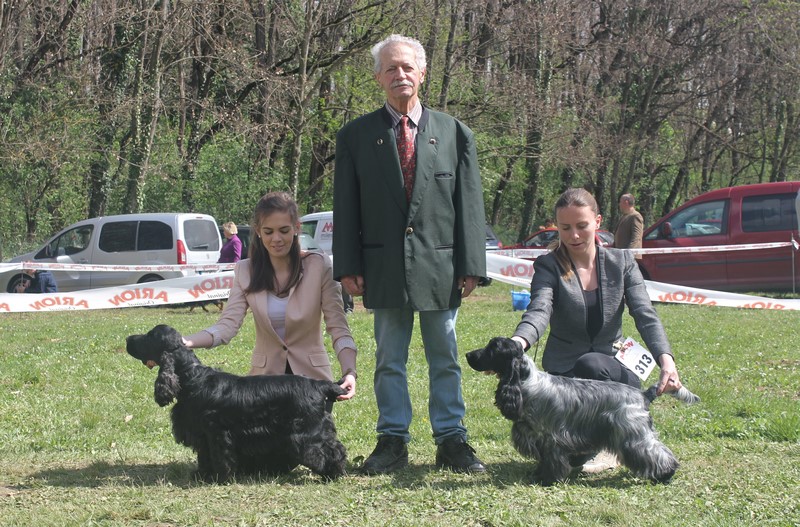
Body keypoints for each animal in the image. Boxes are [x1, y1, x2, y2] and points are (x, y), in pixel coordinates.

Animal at [126, 324, 348, 482]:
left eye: (149, 336)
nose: (127, 339)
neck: (192, 377)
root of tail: (319, 384)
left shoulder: (218, 432)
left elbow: (220, 456)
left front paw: (221, 478)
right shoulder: (202, 434)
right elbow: (204, 456)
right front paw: (202, 475)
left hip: (307, 433)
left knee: (326, 452)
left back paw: (332, 474)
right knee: (336, 448)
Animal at [466, 337, 700, 485]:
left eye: (493, 348)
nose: (468, 354)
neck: (527, 382)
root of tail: (643, 394)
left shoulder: (550, 437)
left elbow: (552, 461)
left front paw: (547, 480)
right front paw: (538, 474)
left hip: (633, 433)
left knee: (655, 452)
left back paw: (666, 474)